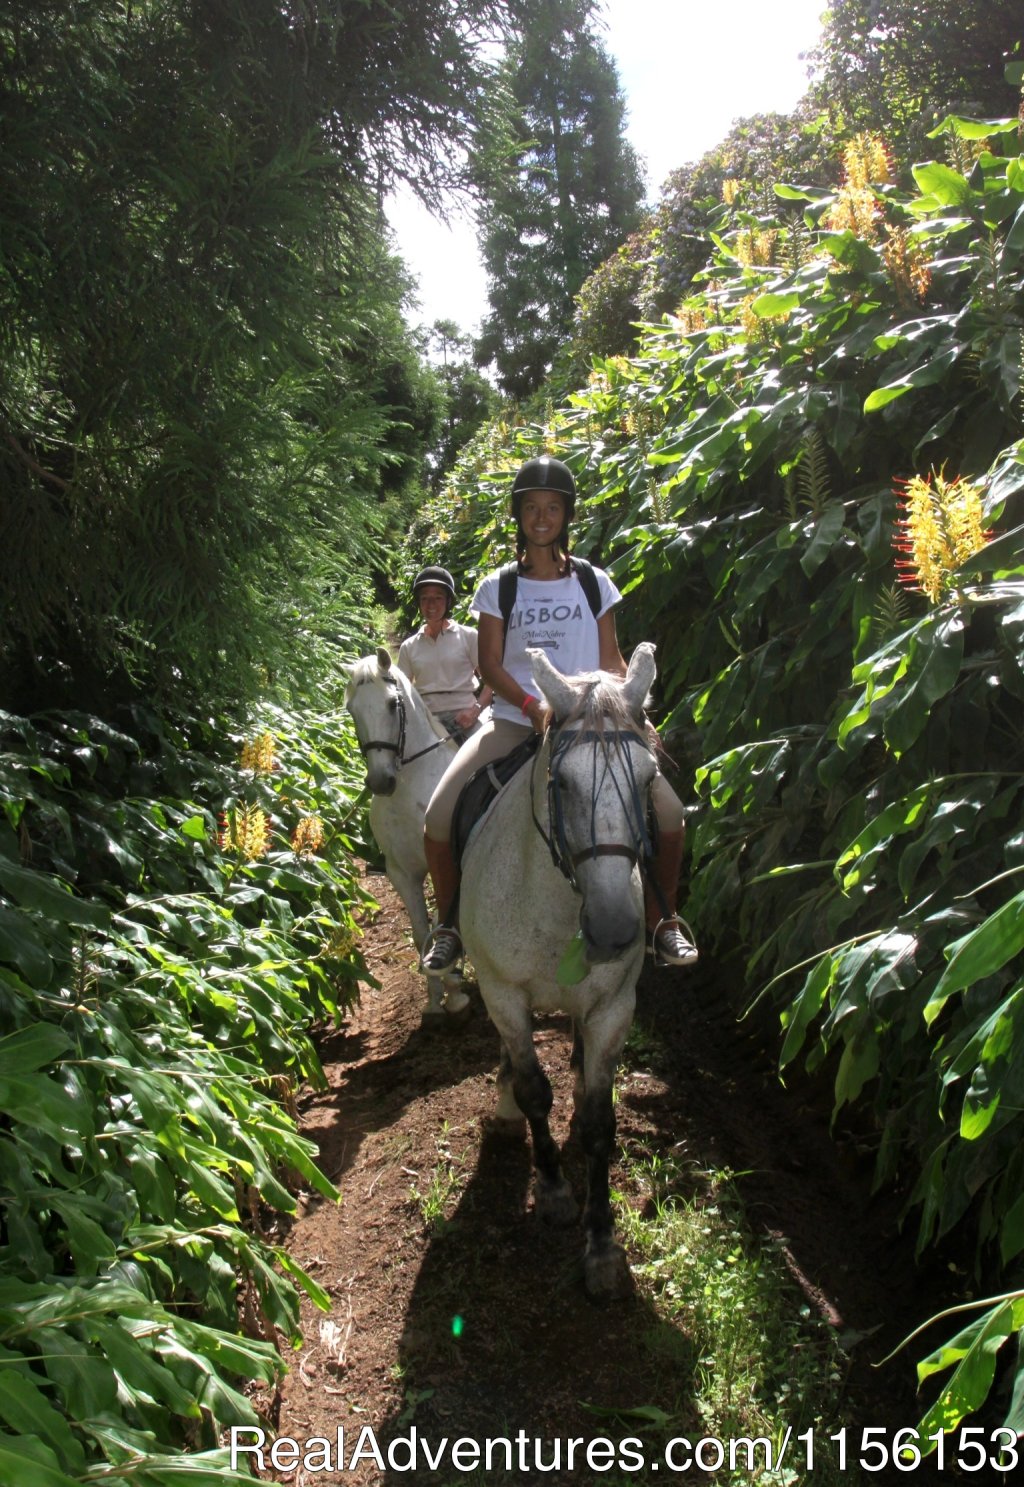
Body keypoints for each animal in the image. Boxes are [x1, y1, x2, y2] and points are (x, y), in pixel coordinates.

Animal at [343, 654, 472, 1034]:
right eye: (352, 710)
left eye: (391, 704)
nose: (380, 781)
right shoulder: (402, 873)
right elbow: (420, 933)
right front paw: (434, 1003)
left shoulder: (447, 863)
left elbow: (447, 924)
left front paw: (456, 996)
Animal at [460, 645, 659, 1296]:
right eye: (562, 782)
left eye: (650, 779)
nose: (614, 929)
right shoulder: (502, 993)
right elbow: (532, 1091)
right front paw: (551, 1190)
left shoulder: (614, 1007)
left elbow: (599, 1121)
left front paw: (601, 1246)